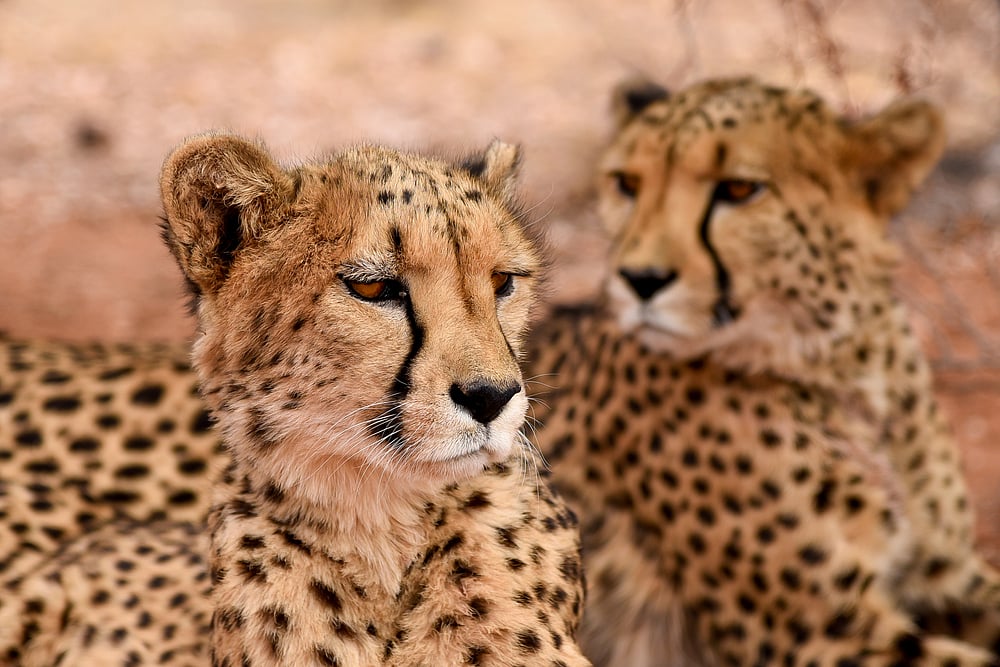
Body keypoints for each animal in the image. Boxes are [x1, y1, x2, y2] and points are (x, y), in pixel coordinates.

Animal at [524, 77, 1000, 666]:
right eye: (627, 184)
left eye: (739, 190)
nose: (639, 279)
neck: (840, 369)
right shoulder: (826, 634)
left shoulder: (943, 576)